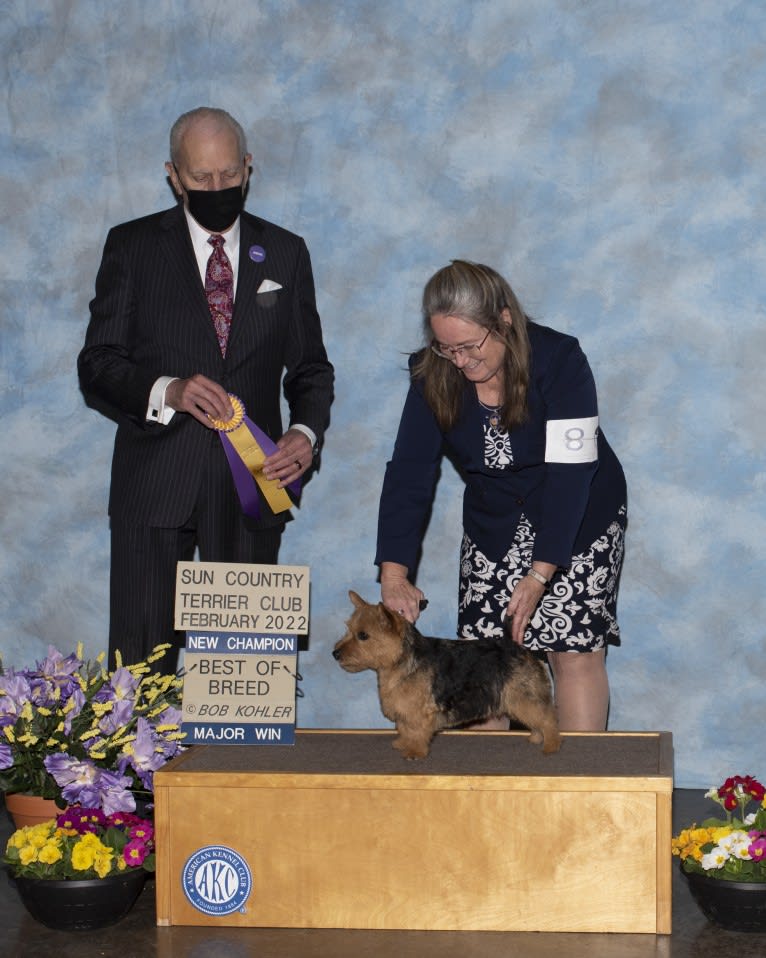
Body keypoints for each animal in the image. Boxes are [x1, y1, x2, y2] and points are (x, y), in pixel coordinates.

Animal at [332, 588, 560, 760]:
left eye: (363, 635)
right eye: (348, 629)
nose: (335, 654)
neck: (400, 661)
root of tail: (515, 645)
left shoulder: (419, 711)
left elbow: (416, 731)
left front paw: (415, 752)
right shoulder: (405, 710)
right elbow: (405, 728)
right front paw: (403, 744)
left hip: (524, 696)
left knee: (548, 718)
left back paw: (551, 745)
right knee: (540, 719)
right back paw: (536, 737)